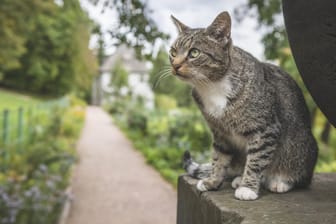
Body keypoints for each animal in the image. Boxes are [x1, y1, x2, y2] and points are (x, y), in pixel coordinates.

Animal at [169, 10, 318, 200]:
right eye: (173, 52)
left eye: (194, 52)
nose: (175, 65)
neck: (212, 86)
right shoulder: (220, 133)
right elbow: (218, 159)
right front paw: (212, 182)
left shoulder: (265, 129)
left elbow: (256, 160)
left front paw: (248, 188)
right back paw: (240, 178)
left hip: (300, 148)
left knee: (298, 176)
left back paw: (279, 181)